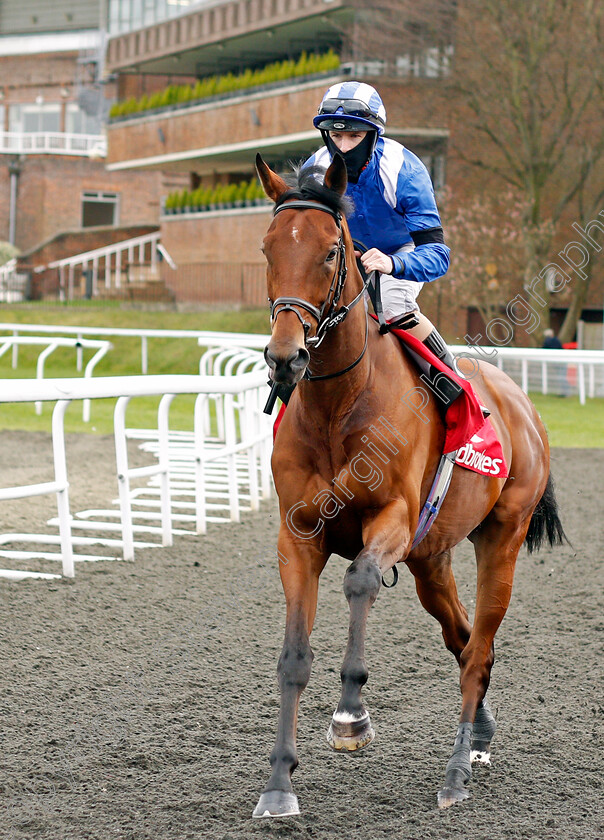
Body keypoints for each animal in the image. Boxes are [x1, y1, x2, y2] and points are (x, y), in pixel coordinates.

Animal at [251, 153, 568, 820]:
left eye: (330, 252)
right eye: (268, 248)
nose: (285, 357)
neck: (339, 406)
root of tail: (522, 404)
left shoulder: (392, 518)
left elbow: (361, 580)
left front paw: (350, 714)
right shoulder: (298, 536)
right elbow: (293, 658)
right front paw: (279, 785)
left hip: (501, 538)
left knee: (478, 650)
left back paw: (455, 775)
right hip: (432, 558)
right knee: (464, 636)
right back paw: (480, 734)